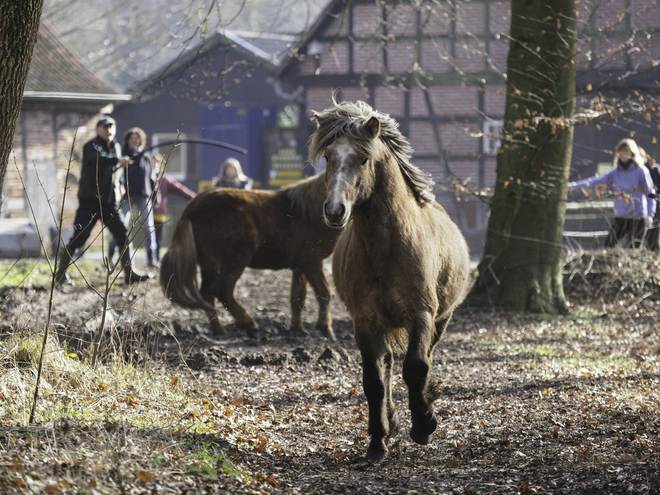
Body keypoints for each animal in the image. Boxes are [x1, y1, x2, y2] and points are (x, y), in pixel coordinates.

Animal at [160, 174, 340, 340]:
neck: (307, 212)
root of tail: (190, 209)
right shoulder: (313, 263)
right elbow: (324, 292)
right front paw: (326, 329)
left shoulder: (300, 265)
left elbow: (297, 297)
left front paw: (298, 330)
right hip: (235, 260)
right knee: (222, 290)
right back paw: (249, 324)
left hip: (209, 265)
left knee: (207, 294)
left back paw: (219, 330)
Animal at [312, 99, 472, 464]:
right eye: (328, 156)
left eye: (363, 158)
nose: (334, 211)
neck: (387, 247)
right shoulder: (365, 321)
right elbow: (373, 380)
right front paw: (377, 442)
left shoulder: (422, 314)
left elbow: (416, 367)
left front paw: (424, 425)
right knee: (385, 364)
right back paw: (391, 423)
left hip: (441, 319)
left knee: (424, 358)